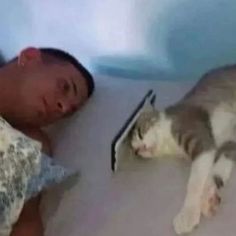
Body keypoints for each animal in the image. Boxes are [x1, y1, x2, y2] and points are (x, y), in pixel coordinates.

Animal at [130, 64, 236, 234]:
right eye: (136, 152)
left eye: (140, 133)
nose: (141, 149)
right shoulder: (225, 142)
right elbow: (215, 171)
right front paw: (208, 198)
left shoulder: (199, 137)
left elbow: (194, 181)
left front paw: (188, 214)